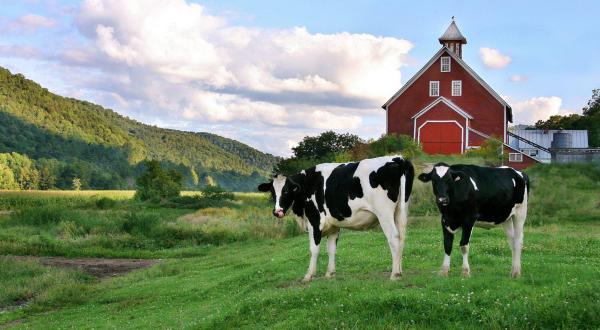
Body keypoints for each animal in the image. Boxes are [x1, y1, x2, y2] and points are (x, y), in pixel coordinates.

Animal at [255, 156, 414, 280]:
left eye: (287, 191)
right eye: (272, 192)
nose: (277, 211)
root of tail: (398, 158)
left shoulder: (315, 221)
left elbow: (314, 249)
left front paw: (309, 275)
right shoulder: (333, 226)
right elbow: (331, 249)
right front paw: (330, 273)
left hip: (384, 213)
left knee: (393, 237)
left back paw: (394, 274)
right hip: (401, 210)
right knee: (402, 236)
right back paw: (400, 270)